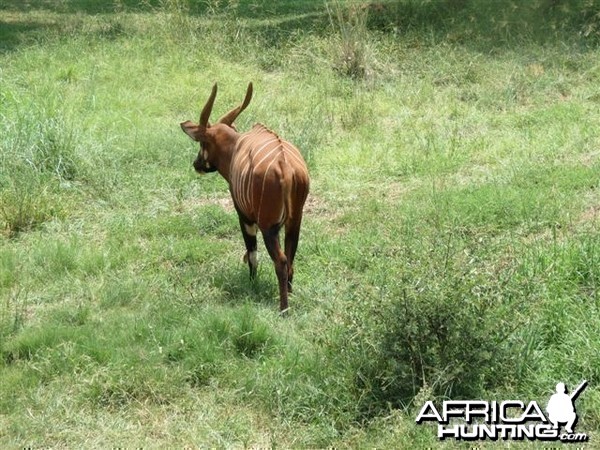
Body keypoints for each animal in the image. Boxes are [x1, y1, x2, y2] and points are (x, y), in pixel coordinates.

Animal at [179, 82, 310, 312]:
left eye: (202, 144)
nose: (197, 164)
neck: (235, 146)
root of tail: (286, 168)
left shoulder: (244, 216)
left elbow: (251, 254)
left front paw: (252, 285)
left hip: (268, 226)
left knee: (281, 261)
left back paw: (283, 309)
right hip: (294, 222)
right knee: (291, 257)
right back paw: (291, 296)